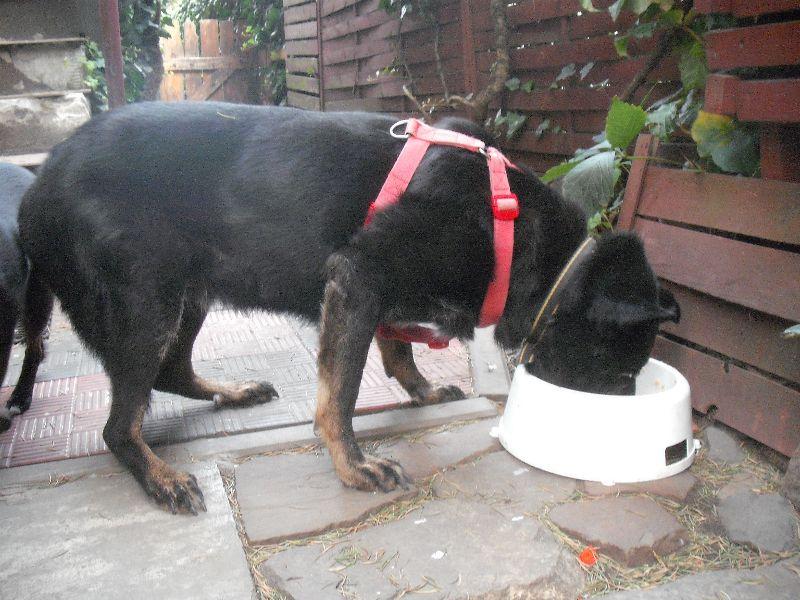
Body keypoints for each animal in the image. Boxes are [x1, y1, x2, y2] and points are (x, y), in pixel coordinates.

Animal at [18, 102, 679, 514]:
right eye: (618, 367)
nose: (620, 412)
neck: (511, 226)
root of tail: (38, 182)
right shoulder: (358, 278)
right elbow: (340, 394)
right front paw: (354, 467)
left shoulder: (377, 291)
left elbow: (399, 349)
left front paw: (421, 390)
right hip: (146, 302)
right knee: (118, 426)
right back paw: (160, 476)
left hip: (190, 294)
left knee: (172, 372)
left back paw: (231, 392)